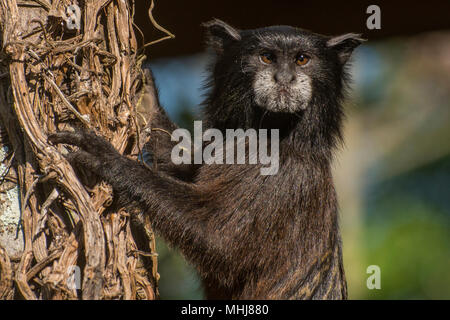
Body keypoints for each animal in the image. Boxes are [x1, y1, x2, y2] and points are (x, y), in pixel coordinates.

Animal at [50, 19, 366, 300]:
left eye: (302, 60)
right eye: (267, 57)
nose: (285, 79)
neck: (275, 134)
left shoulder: (283, 177)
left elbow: (219, 243)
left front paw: (109, 159)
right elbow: (184, 165)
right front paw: (146, 99)